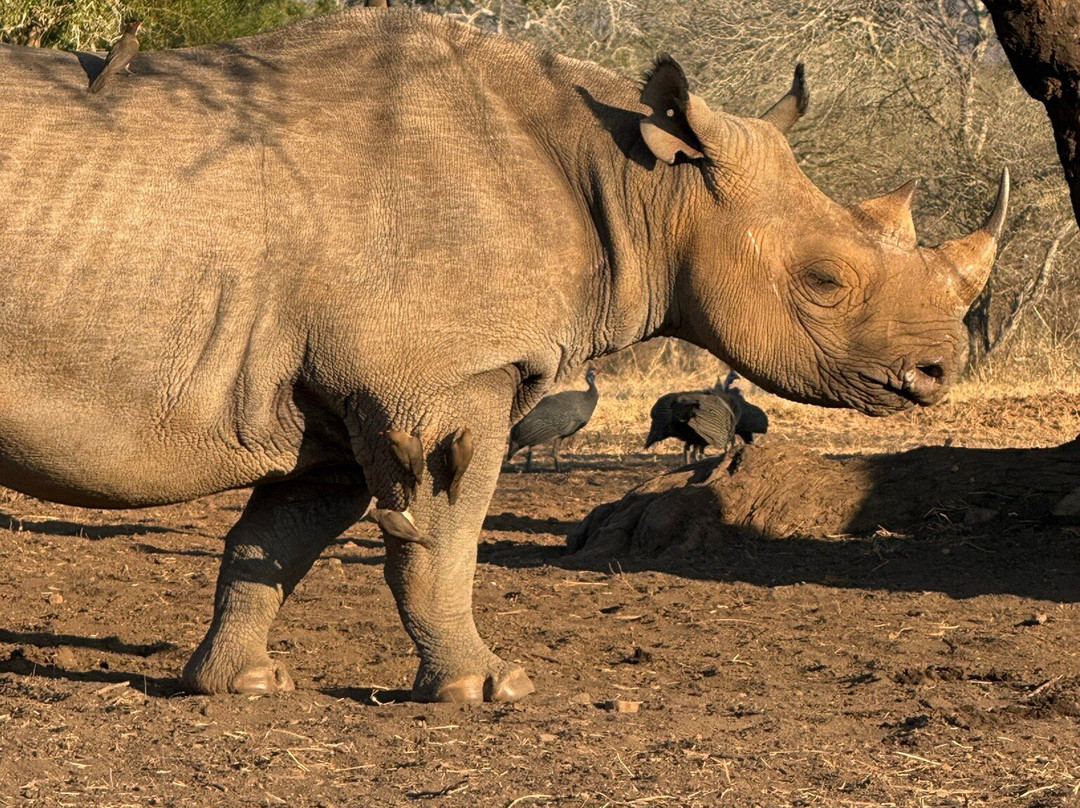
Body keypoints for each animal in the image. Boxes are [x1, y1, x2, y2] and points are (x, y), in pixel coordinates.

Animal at [0, 8, 1006, 703]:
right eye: (825, 282)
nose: (939, 374)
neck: (644, 184)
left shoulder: (341, 394)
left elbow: (278, 538)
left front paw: (243, 685)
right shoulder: (446, 378)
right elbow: (445, 538)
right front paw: (487, 689)